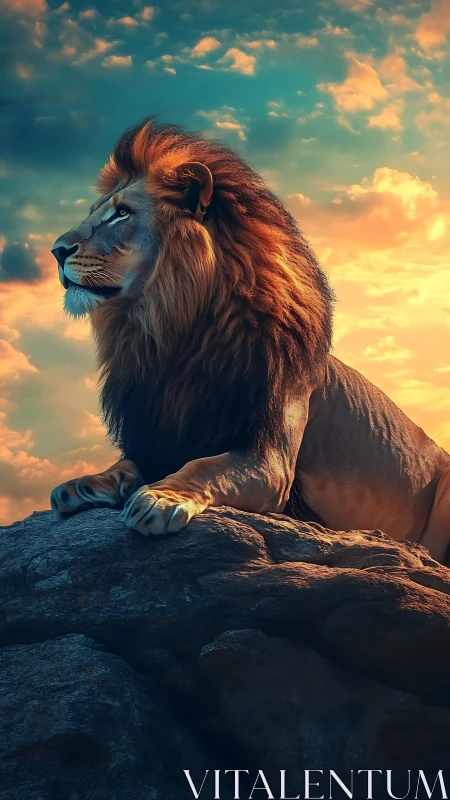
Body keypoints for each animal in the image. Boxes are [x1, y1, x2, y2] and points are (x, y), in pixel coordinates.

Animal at [50, 117, 450, 564]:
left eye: (121, 214)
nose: (56, 251)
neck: (169, 334)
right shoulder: (158, 434)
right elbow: (126, 465)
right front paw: (84, 484)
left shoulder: (271, 462)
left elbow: (204, 466)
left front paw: (160, 498)